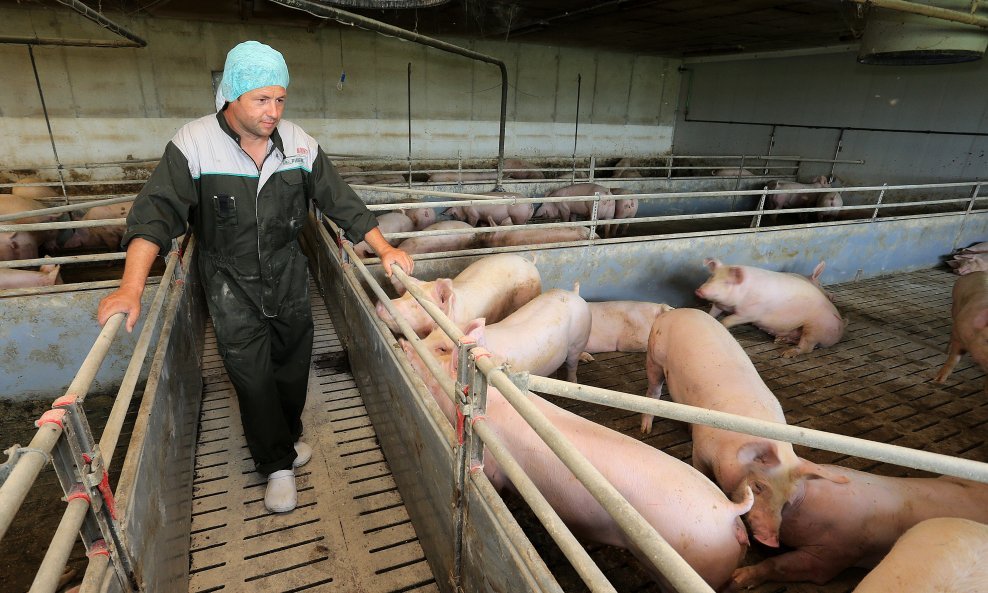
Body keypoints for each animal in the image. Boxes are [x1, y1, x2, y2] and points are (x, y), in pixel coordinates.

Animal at [644, 308, 844, 548]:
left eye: (786, 500)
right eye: (758, 486)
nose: (770, 541)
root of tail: (673, 311)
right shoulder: (701, 448)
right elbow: (702, 472)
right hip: (653, 355)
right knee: (653, 390)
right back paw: (645, 430)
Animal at [696, 258, 848, 356]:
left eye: (727, 282)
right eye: (712, 276)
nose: (699, 291)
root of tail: (840, 328)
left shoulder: (749, 313)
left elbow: (727, 320)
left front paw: (722, 326)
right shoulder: (719, 305)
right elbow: (712, 313)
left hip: (815, 329)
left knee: (807, 348)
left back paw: (786, 354)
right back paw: (779, 340)